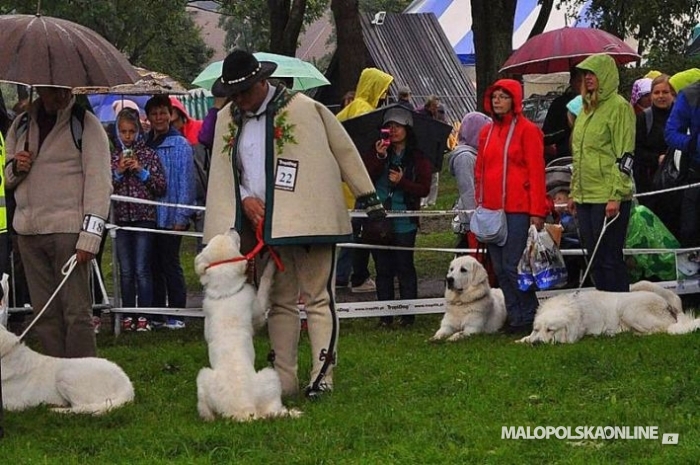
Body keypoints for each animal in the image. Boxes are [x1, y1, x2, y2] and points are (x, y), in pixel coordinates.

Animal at [193, 230, 300, 422]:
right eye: (233, 240)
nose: (232, 228)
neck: (225, 292)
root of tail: (245, 412)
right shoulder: (258, 313)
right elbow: (264, 283)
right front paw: (272, 264)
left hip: (203, 379)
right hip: (269, 375)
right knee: (274, 409)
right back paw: (290, 412)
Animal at [516, 280, 696, 344]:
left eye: (550, 330)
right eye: (537, 329)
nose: (536, 343)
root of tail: (667, 304)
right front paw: (524, 339)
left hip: (629, 310)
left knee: (663, 329)